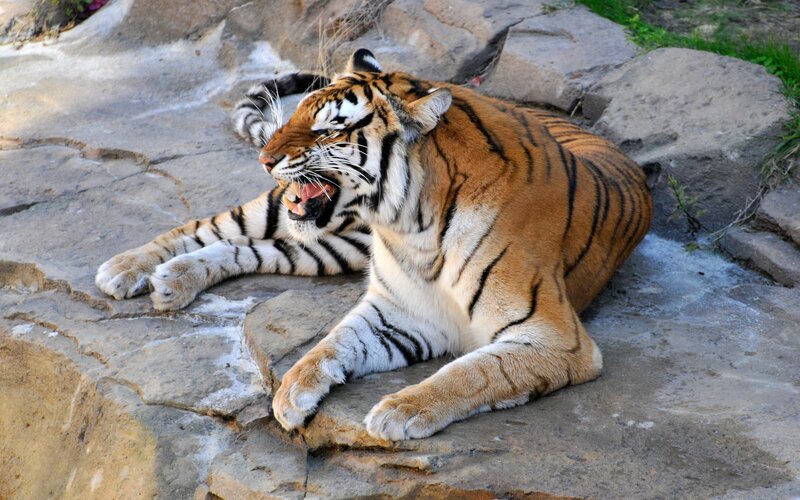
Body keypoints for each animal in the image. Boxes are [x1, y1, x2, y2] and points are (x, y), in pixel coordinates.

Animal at [95, 48, 652, 441]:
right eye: (297, 116)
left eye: (329, 130)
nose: (266, 158)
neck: (413, 226)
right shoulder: (397, 309)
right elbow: (332, 342)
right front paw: (292, 391)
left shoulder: (555, 338)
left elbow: (474, 372)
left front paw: (398, 411)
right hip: (285, 212)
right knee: (209, 225)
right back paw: (128, 268)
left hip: (328, 249)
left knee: (251, 250)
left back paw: (172, 280)